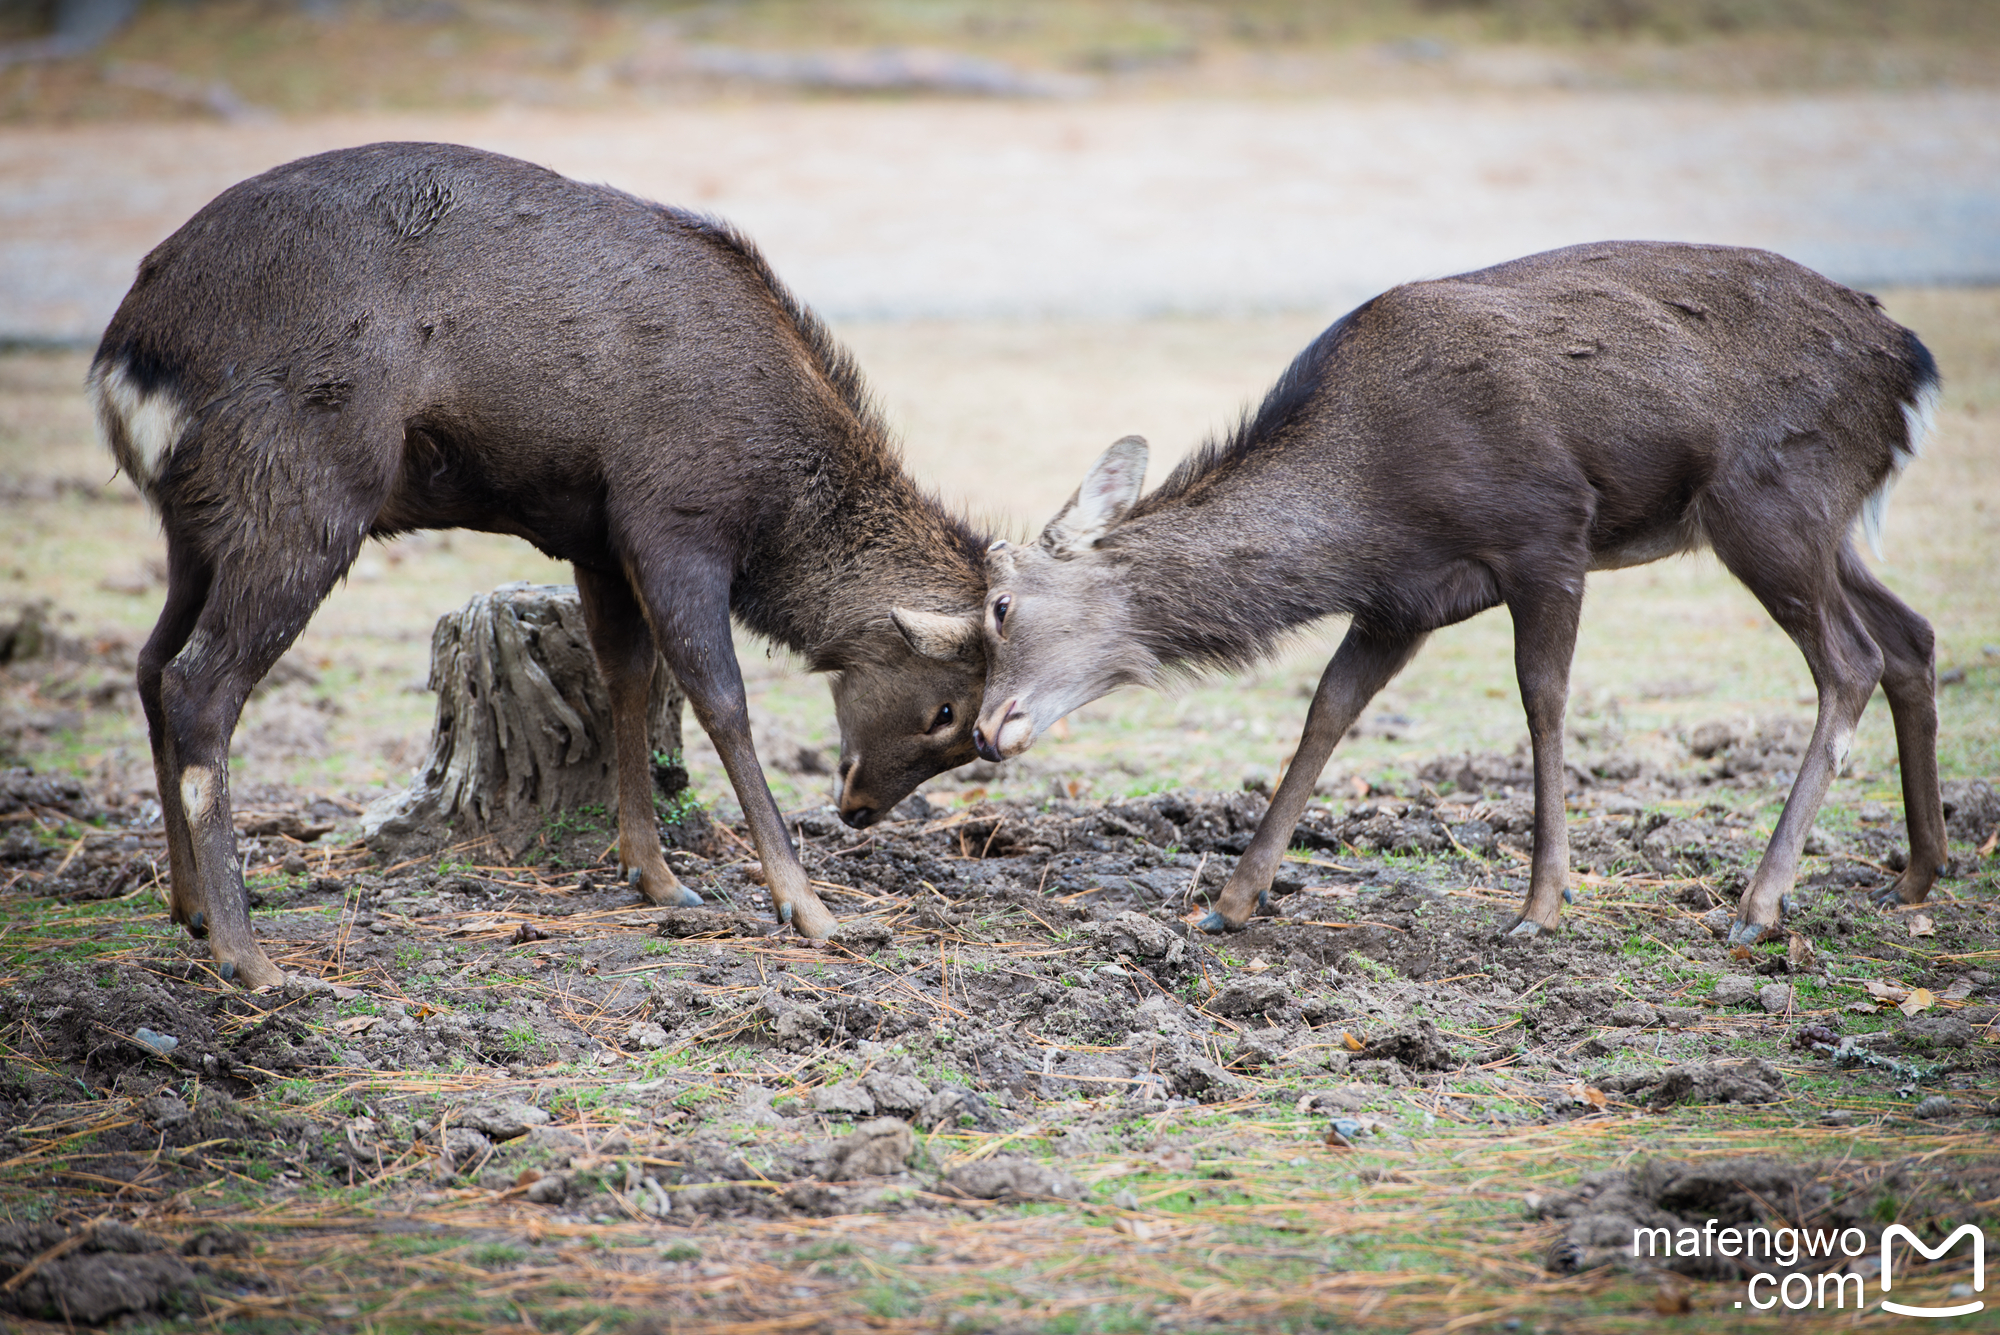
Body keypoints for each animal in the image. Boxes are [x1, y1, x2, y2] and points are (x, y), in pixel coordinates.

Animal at [92, 140, 992, 987]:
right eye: (947, 712)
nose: (859, 808)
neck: (775, 498)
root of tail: (127, 359)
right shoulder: (674, 519)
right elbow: (722, 699)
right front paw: (807, 906)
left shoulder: (599, 542)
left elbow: (626, 679)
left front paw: (656, 876)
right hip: (302, 494)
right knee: (199, 684)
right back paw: (249, 956)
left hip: (196, 527)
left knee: (149, 663)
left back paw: (188, 906)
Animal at [976, 242, 1944, 947]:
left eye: (1000, 604)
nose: (986, 729)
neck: (1372, 505)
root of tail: (1912, 366)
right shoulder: (1400, 602)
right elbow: (1327, 709)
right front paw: (1231, 899)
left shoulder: (1548, 532)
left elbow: (1543, 701)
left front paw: (1540, 905)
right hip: (1822, 519)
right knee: (1912, 636)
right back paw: (1917, 871)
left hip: (1769, 496)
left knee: (1850, 659)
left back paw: (1758, 903)